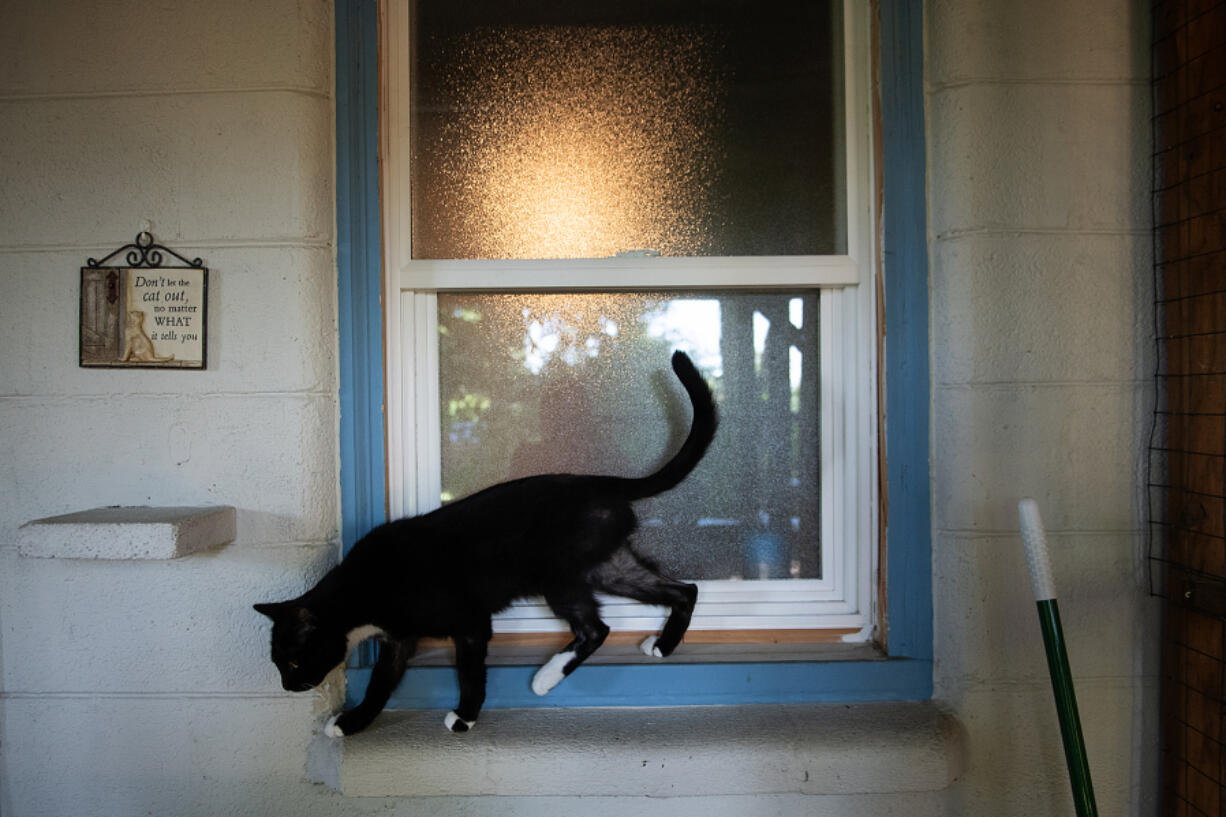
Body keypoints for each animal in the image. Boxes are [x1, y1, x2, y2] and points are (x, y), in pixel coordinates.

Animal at [256, 348, 715, 731]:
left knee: (596, 628)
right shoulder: (398, 639)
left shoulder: (471, 621)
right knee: (684, 590)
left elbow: (470, 670)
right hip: (608, 566)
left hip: (557, 575)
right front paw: (353, 723)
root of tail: (600, 483)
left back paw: (545, 678)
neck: (362, 590)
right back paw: (663, 645)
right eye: (277, 663)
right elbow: (380, 685)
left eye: (293, 660)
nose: (286, 688)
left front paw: (465, 717)